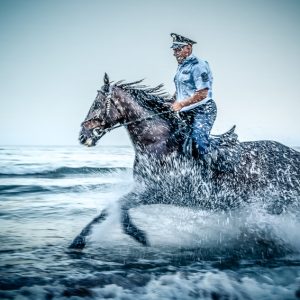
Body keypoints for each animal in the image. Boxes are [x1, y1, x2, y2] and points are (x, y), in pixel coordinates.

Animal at [69, 73, 300, 248]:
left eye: (97, 103)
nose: (83, 135)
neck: (158, 143)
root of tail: (292, 155)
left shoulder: (152, 191)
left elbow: (118, 210)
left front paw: (139, 237)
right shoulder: (143, 189)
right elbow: (112, 210)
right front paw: (79, 241)